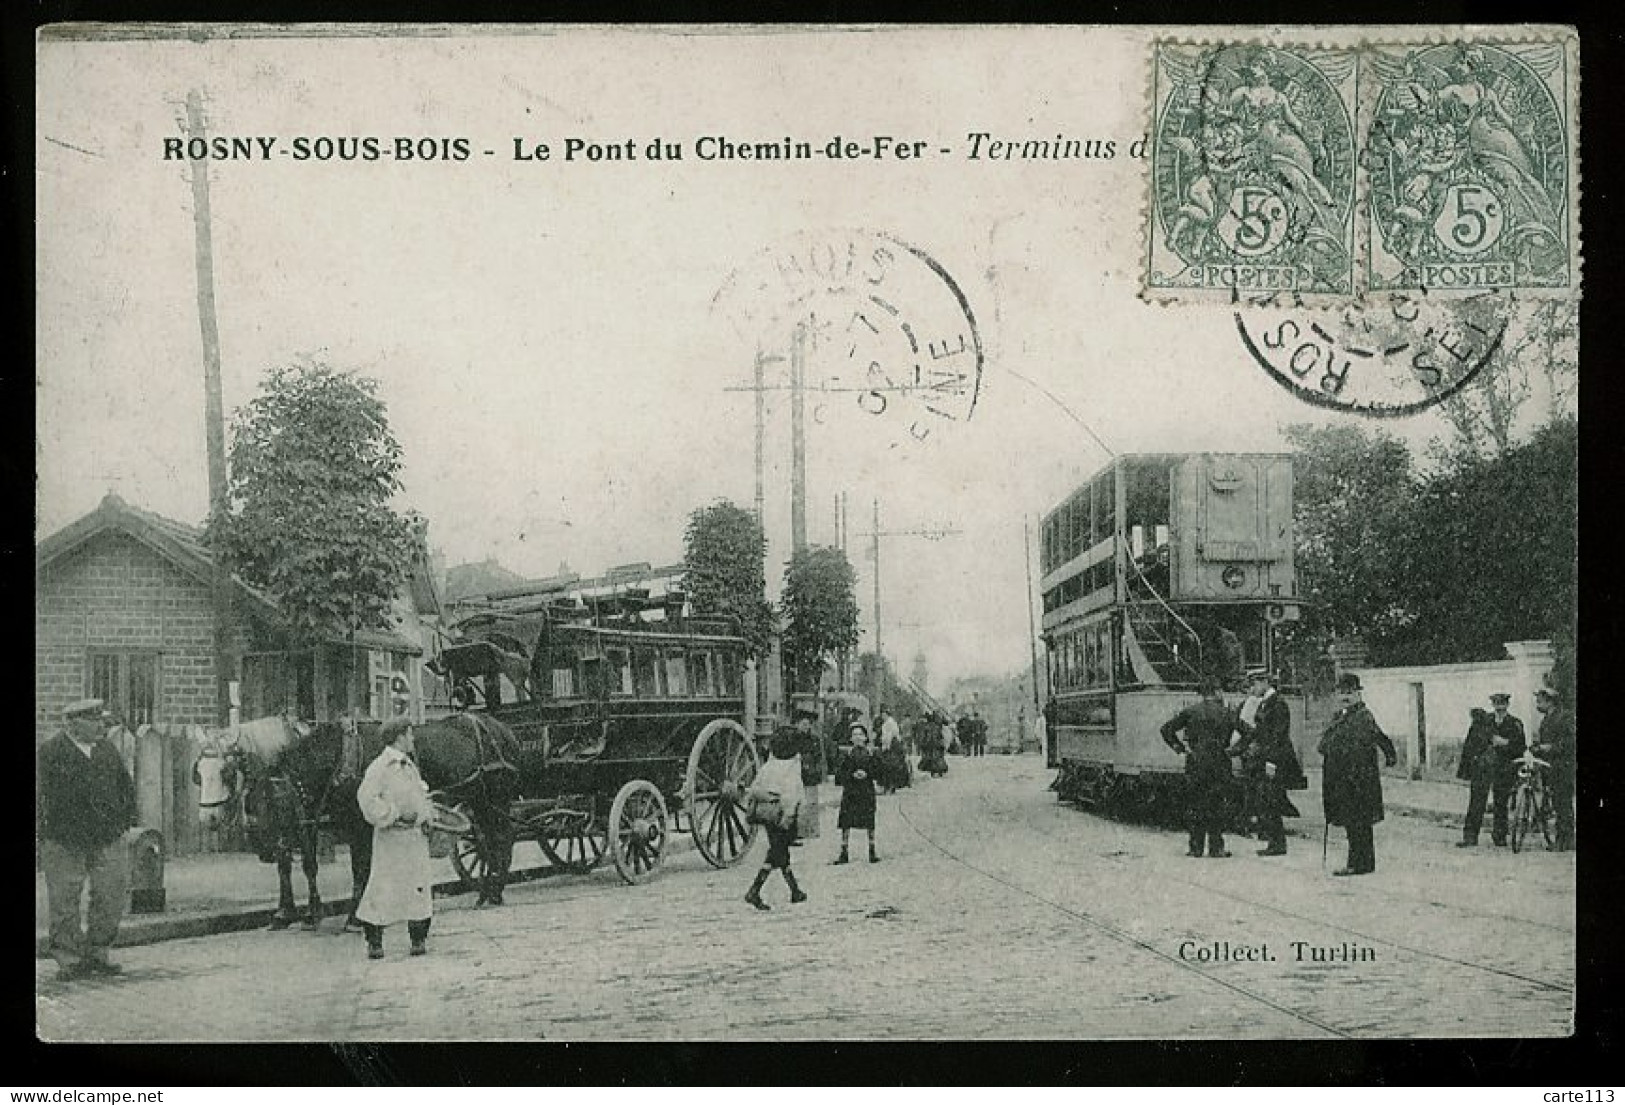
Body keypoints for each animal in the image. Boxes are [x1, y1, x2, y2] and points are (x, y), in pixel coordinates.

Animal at [206, 711, 516, 929]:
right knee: (490, 842)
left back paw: (494, 891)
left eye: (226, 774)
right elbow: (323, 867)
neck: (338, 759)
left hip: (493, 799)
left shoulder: (358, 825)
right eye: (250, 799)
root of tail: (499, 727)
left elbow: (359, 869)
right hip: (480, 802)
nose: (263, 848)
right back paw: (488, 893)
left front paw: (353, 917)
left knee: (502, 839)